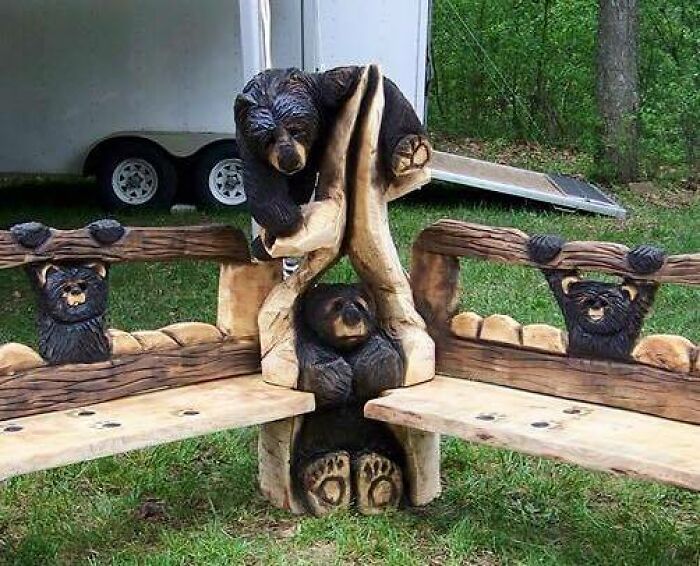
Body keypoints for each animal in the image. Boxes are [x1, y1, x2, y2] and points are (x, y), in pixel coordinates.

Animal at [234, 66, 432, 245]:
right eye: (268, 139)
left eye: (295, 130)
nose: (290, 161)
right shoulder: (249, 143)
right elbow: (262, 185)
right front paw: (288, 219)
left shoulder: (330, 92)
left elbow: (383, 89)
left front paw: (409, 147)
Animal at [291, 283, 406, 516]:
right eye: (336, 305)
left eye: (361, 306)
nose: (352, 317)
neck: (345, 347)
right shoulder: (308, 341)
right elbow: (314, 370)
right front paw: (337, 375)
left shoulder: (378, 336)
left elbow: (388, 361)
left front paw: (371, 363)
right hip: (314, 441)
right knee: (307, 459)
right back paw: (327, 470)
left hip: (377, 436)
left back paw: (378, 470)